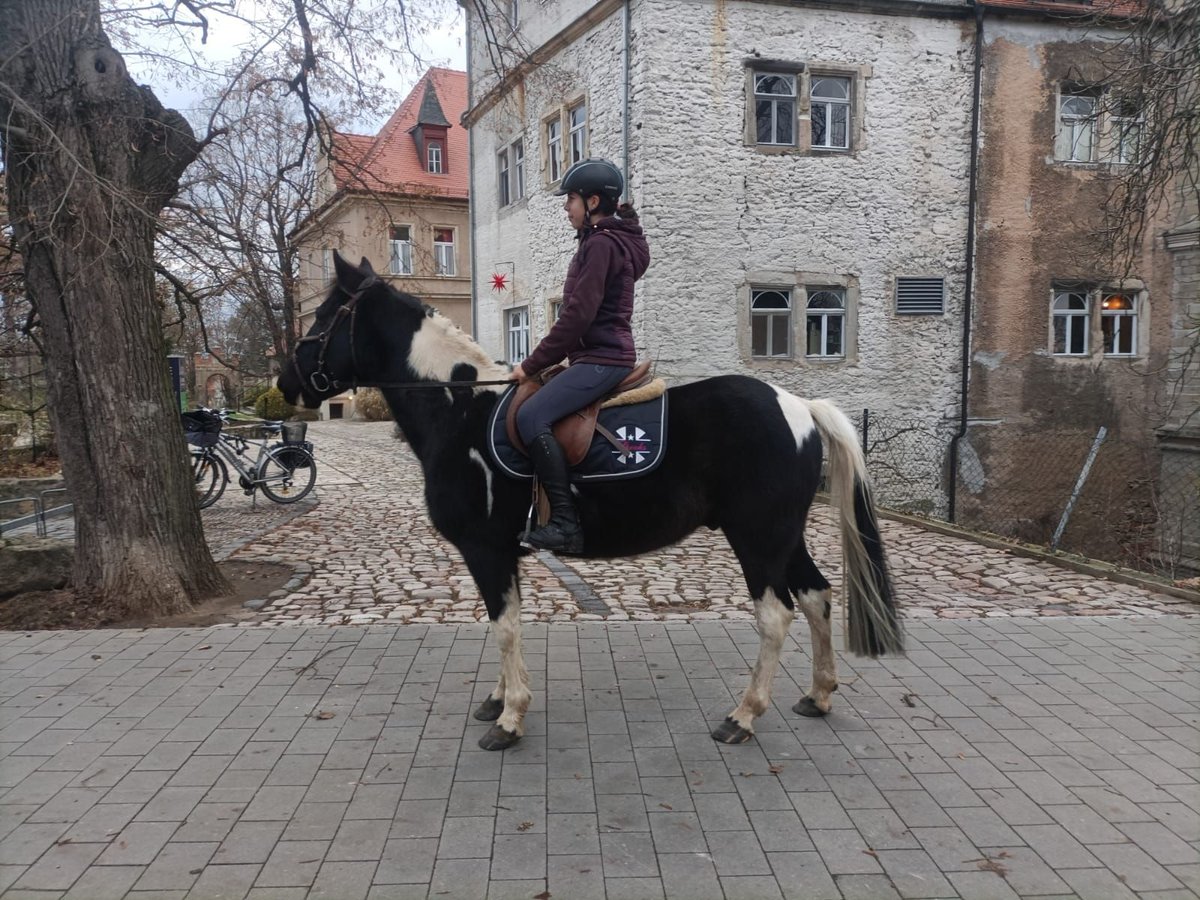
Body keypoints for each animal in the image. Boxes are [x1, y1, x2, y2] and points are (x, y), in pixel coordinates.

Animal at [278, 254, 902, 753]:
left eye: (324, 318)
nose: (286, 384)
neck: (460, 411)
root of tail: (799, 406)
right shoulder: (503, 553)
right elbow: (506, 620)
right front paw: (498, 699)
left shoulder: (485, 549)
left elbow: (505, 627)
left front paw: (509, 719)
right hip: (783, 535)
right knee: (817, 597)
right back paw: (818, 696)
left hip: (757, 537)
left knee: (777, 615)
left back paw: (743, 716)